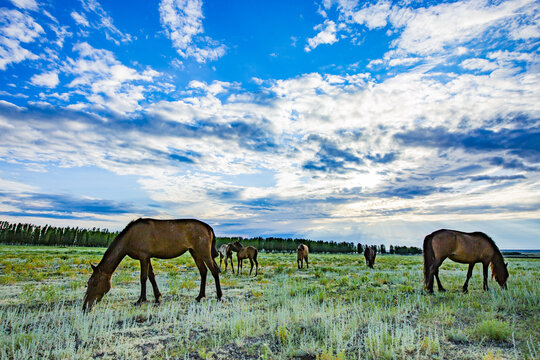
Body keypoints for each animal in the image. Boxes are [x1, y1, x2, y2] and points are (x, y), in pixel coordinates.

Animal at [83, 218, 221, 310]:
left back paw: (219, 296)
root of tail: (209, 228)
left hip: (203, 252)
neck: (129, 238)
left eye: (94, 283)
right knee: (203, 271)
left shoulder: (143, 256)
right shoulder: (147, 257)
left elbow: (143, 278)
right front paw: (157, 298)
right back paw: (199, 296)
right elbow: (151, 276)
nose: (85, 306)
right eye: (88, 283)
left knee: (214, 271)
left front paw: (140, 300)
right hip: (194, 251)